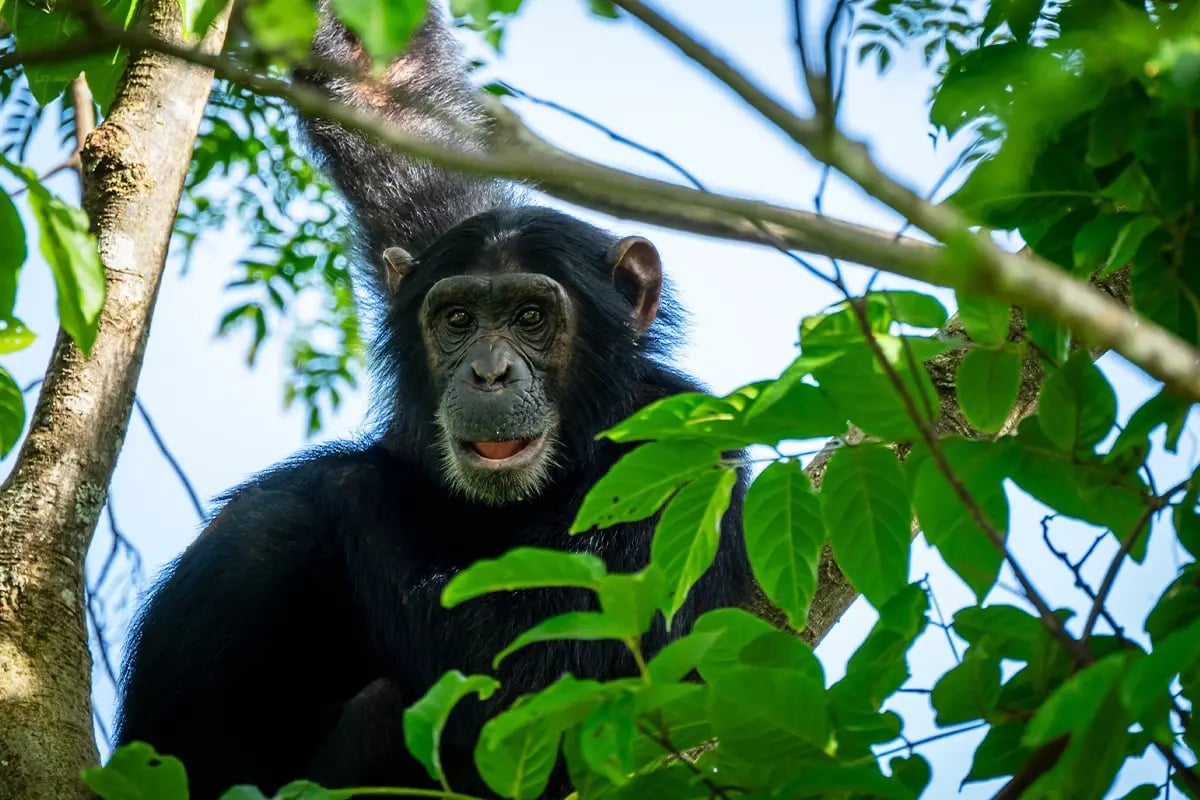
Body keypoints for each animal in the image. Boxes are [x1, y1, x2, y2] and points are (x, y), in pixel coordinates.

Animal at [112, 6, 748, 800]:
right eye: (457, 320)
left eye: (531, 317)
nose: (488, 372)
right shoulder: (427, 238)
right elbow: (384, 88)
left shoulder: (674, 457)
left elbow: (533, 676)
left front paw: (333, 477)